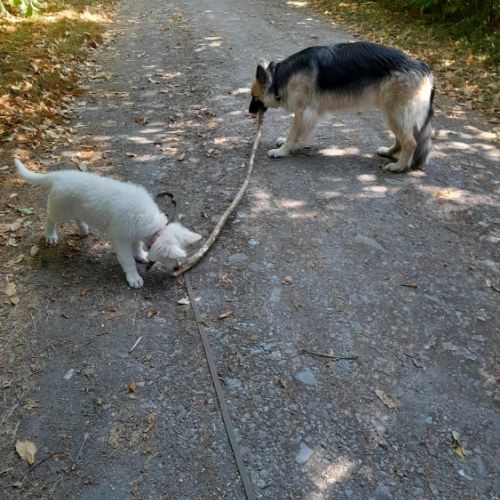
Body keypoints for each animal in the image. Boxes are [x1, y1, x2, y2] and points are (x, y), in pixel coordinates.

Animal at [15, 159, 201, 288]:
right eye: (171, 258)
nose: (177, 268)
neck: (149, 222)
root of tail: (61, 175)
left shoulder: (133, 235)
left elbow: (137, 247)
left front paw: (141, 256)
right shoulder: (120, 240)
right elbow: (128, 260)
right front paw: (134, 278)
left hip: (76, 208)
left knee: (78, 217)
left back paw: (83, 229)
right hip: (61, 209)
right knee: (50, 219)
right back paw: (51, 236)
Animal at [249, 42, 434, 172]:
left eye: (254, 97)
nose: (249, 112)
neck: (279, 77)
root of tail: (424, 68)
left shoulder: (303, 112)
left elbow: (293, 133)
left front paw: (283, 150)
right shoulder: (310, 114)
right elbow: (301, 133)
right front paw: (293, 144)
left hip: (395, 114)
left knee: (410, 142)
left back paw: (400, 167)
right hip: (391, 114)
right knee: (402, 140)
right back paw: (389, 153)